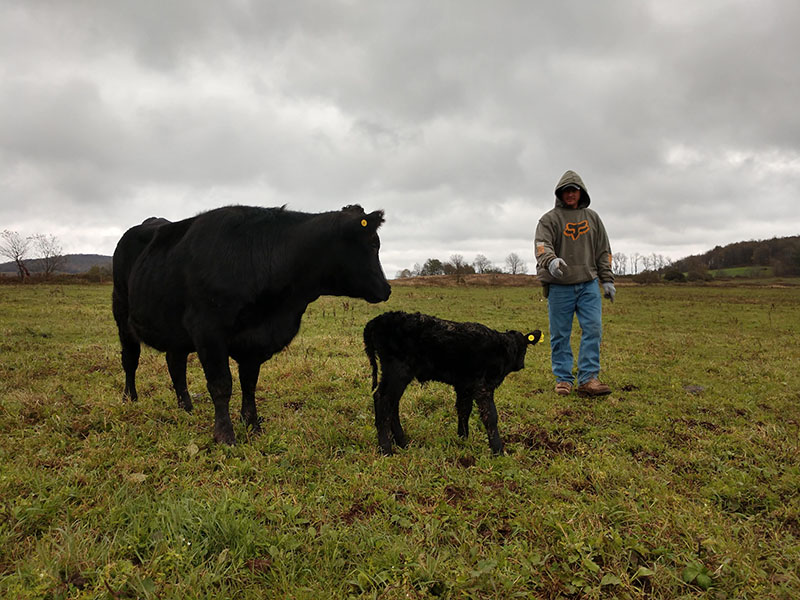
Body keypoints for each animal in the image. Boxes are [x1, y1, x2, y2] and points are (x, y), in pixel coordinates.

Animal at [111, 204, 390, 442]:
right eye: (373, 244)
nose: (387, 289)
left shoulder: (255, 340)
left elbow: (249, 383)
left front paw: (252, 425)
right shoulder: (208, 330)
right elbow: (221, 384)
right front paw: (225, 435)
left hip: (174, 330)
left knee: (175, 364)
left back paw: (186, 407)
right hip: (122, 313)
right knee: (130, 359)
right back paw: (130, 398)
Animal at [364, 314, 544, 454]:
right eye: (524, 348)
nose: (521, 365)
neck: (502, 347)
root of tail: (378, 320)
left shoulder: (464, 385)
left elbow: (464, 410)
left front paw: (463, 439)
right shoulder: (483, 386)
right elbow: (490, 416)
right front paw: (498, 450)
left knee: (392, 404)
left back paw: (402, 442)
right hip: (397, 372)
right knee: (383, 400)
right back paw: (386, 449)